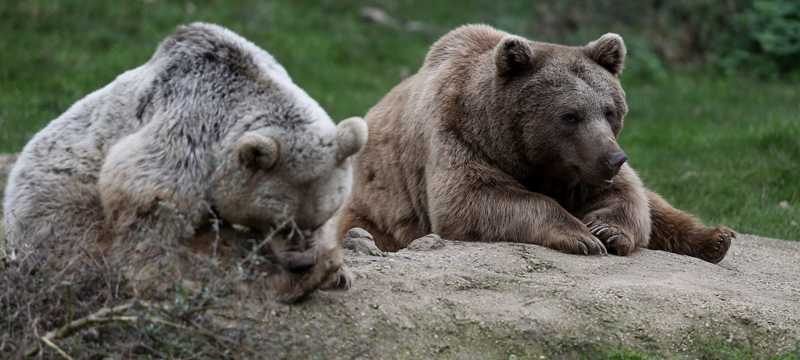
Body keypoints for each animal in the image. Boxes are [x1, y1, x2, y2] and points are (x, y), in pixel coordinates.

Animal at [1, 22, 366, 300]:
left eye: (319, 218)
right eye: (280, 223)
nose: (300, 261)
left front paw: (340, 270)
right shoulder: (192, 127)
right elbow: (150, 203)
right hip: (57, 206)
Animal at [338, 24, 732, 262]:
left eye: (609, 110)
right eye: (570, 115)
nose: (614, 158)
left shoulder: (584, 167)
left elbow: (630, 196)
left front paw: (607, 231)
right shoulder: (457, 137)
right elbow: (474, 199)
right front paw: (581, 236)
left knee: (658, 205)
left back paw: (716, 239)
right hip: (377, 208)